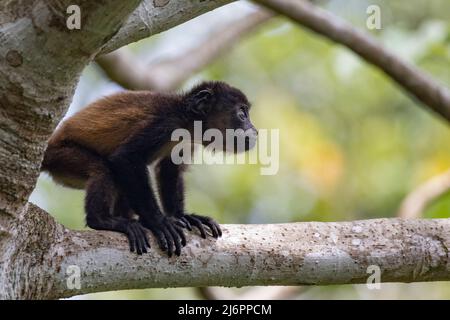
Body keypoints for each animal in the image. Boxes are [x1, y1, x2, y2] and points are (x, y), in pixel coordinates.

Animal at [40, 80, 258, 258]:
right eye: (242, 113)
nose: (254, 131)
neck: (186, 119)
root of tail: (48, 147)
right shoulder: (164, 124)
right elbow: (126, 158)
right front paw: (159, 222)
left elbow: (170, 169)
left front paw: (182, 216)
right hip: (61, 156)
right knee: (102, 169)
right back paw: (102, 221)